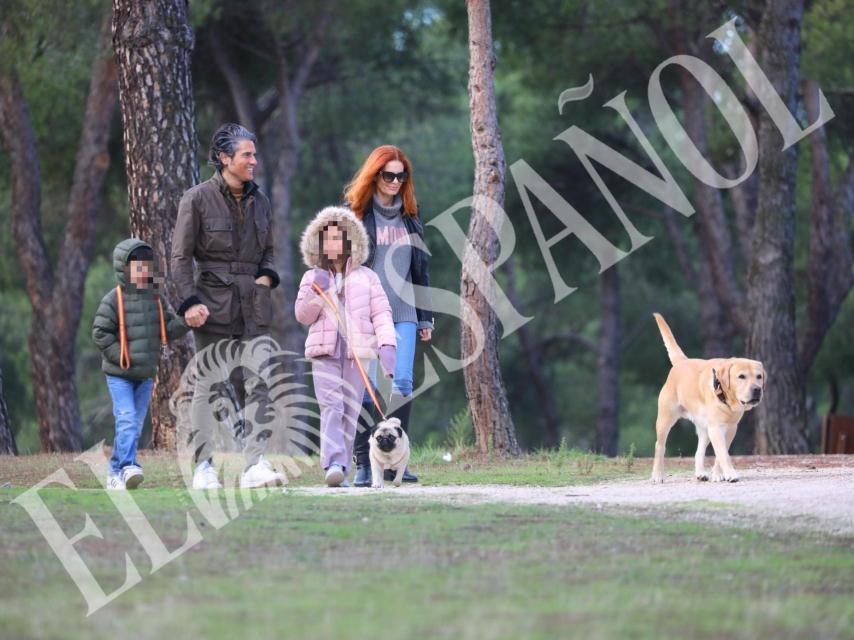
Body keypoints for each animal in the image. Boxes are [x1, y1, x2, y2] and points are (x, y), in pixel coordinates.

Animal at [652, 312, 764, 482]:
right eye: (741, 376)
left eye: (759, 376)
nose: (757, 389)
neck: (725, 399)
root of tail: (681, 362)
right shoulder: (716, 428)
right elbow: (723, 454)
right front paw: (730, 474)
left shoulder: (730, 428)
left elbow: (720, 454)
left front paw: (718, 475)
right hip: (665, 419)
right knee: (659, 446)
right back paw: (657, 475)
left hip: (704, 428)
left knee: (699, 452)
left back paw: (701, 474)